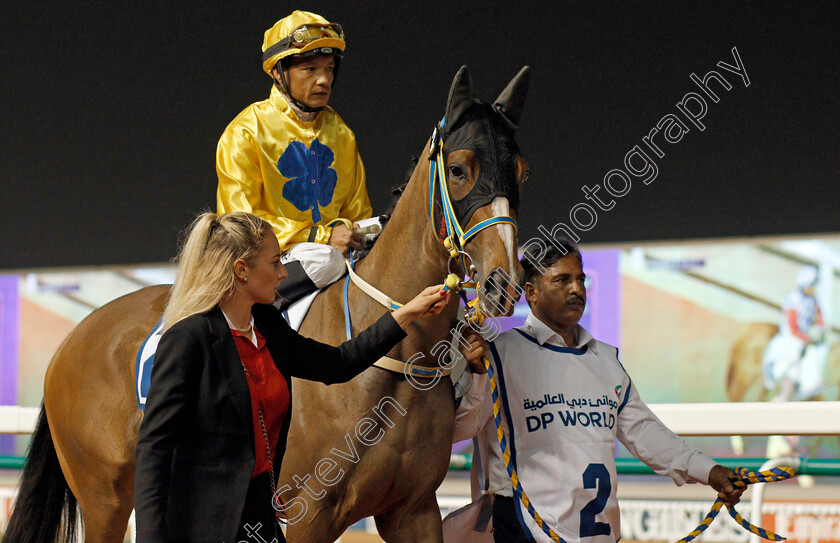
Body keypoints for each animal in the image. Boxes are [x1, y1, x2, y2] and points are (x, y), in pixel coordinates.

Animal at [6, 65, 528, 543]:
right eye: (459, 168)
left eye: (521, 171)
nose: (504, 282)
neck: (391, 370)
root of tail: (75, 337)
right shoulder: (304, 514)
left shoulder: (413, 511)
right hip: (106, 499)